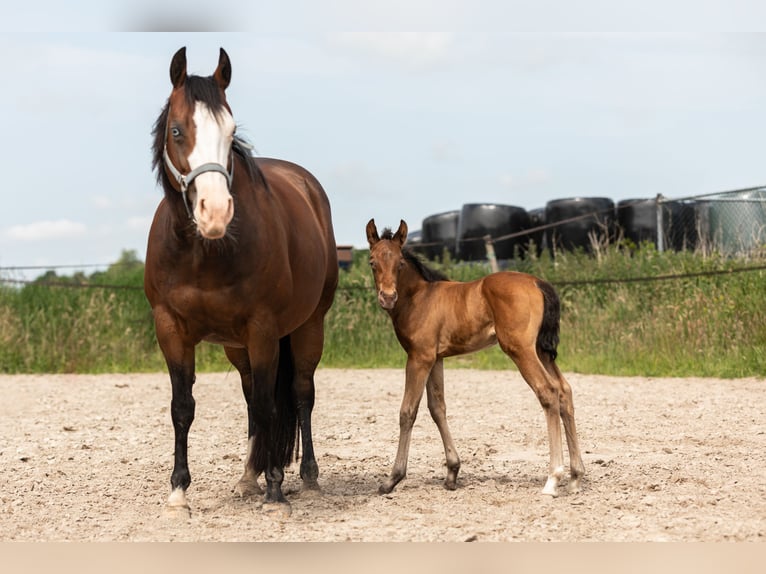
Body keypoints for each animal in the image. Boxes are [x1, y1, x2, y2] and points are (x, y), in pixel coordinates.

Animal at [144, 47, 338, 517]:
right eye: (177, 130)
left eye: (231, 131)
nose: (215, 213)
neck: (204, 254)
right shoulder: (170, 328)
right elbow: (183, 408)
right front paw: (178, 493)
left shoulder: (263, 330)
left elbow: (272, 407)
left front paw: (276, 491)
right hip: (236, 346)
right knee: (252, 397)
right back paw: (249, 476)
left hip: (308, 327)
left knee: (301, 394)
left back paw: (306, 478)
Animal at [365, 219, 585, 497]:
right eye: (372, 261)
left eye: (400, 263)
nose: (387, 297)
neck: (419, 298)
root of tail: (538, 283)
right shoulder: (435, 359)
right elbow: (437, 408)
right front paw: (452, 473)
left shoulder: (419, 358)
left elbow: (408, 411)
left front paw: (392, 479)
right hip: (542, 351)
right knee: (564, 390)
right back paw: (576, 477)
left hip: (521, 350)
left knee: (548, 391)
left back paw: (553, 479)